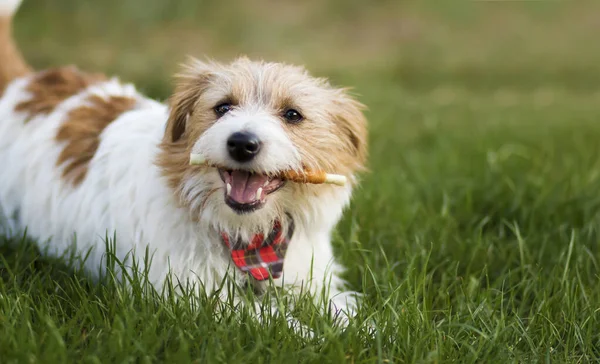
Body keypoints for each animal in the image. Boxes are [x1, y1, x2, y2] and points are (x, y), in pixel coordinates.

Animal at [0, 0, 366, 330]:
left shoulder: (312, 280)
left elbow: (346, 312)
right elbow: (281, 324)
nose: (241, 143)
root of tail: (23, 84)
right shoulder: (194, 297)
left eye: (292, 114)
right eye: (222, 107)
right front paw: (317, 337)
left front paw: (366, 333)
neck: (249, 237)